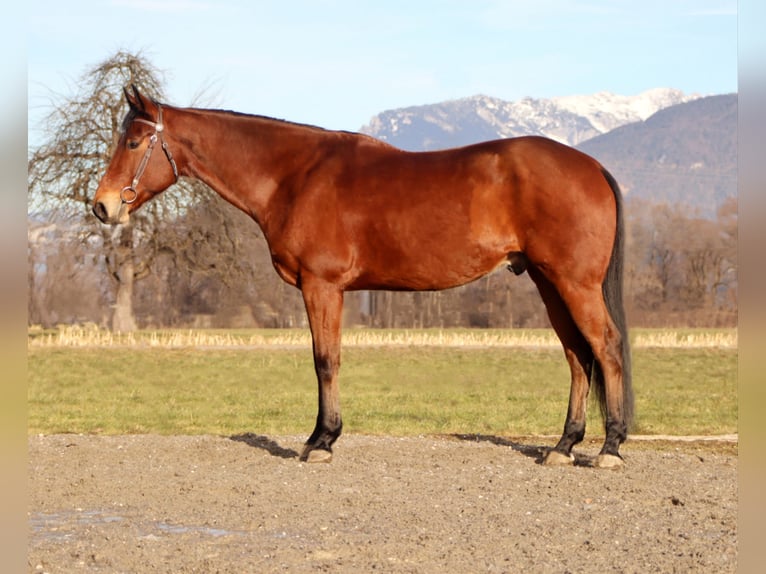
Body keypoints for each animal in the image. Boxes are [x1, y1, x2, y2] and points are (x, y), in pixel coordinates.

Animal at [94, 86, 636, 472]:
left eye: (134, 141)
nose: (102, 205)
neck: (295, 176)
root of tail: (592, 166)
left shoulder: (322, 286)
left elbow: (325, 361)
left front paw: (321, 441)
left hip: (573, 283)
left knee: (605, 346)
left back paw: (609, 448)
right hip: (548, 282)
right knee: (577, 355)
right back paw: (563, 445)